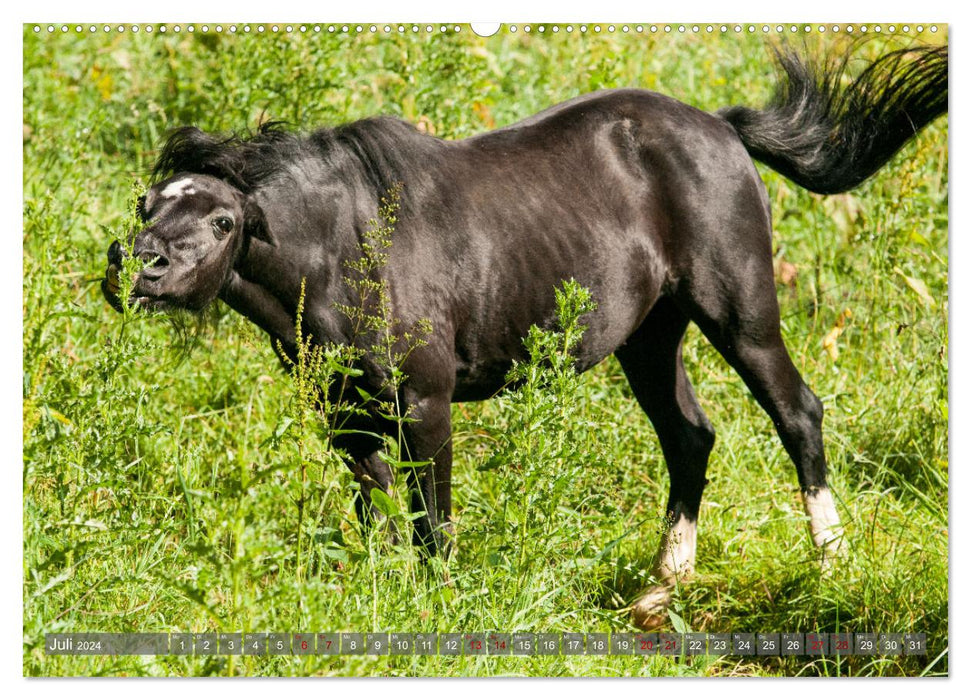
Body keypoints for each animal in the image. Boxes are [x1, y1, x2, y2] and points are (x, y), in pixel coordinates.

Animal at [100, 46, 948, 632]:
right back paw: (658, 592)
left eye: (222, 220)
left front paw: (439, 608)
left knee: (796, 414)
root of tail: (720, 127)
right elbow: (378, 519)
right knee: (689, 437)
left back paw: (830, 565)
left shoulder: (425, 405)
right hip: (650, 337)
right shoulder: (346, 417)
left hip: (739, 314)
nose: (134, 268)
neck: (345, 250)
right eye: (148, 204)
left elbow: (431, 523)